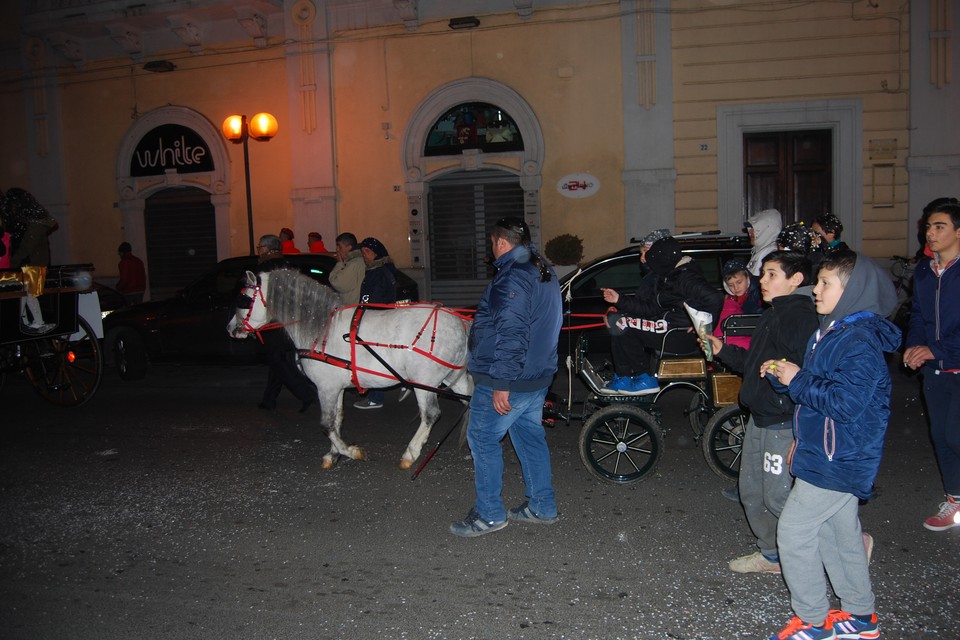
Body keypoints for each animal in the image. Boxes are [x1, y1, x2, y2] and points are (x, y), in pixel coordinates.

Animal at [230, 270, 476, 470]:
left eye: (245, 299)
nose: (230, 328)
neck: (321, 328)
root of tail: (458, 322)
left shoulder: (326, 387)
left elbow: (326, 424)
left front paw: (351, 451)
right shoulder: (335, 387)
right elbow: (337, 419)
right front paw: (333, 454)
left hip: (424, 382)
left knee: (431, 415)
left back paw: (410, 453)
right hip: (453, 377)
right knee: (470, 400)